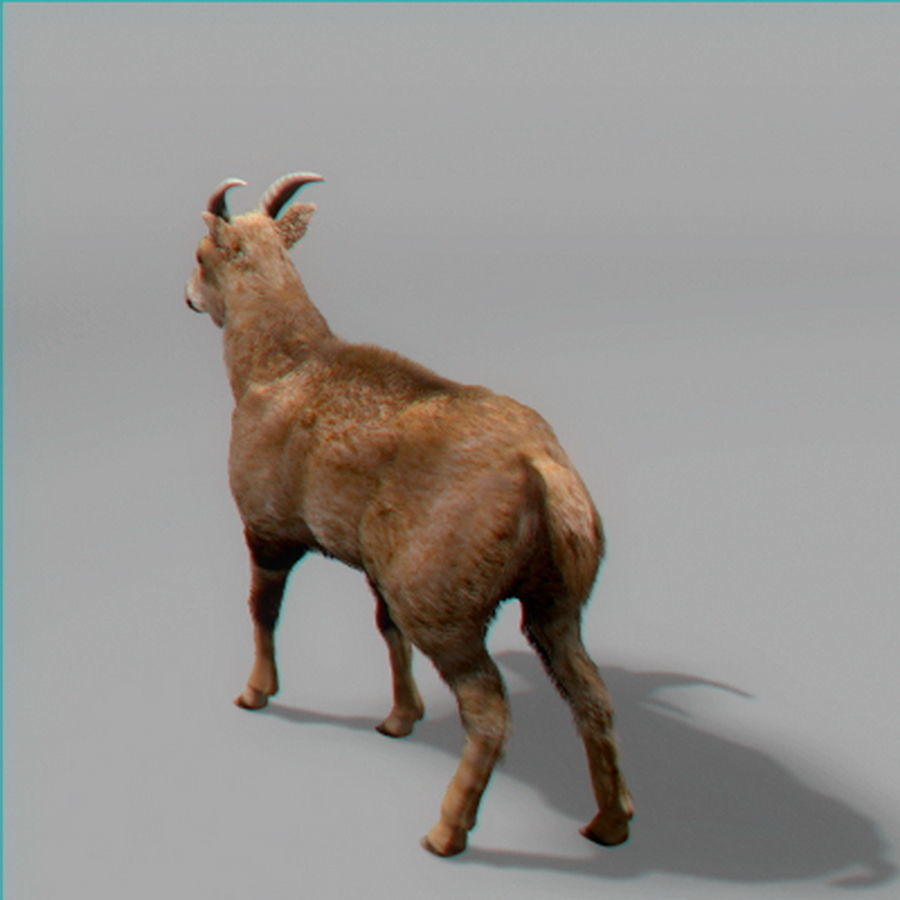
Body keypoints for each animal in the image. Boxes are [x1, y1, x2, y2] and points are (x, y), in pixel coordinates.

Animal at [184, 173, 633, 857]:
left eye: (202, 255)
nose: (187, 296)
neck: (279, 365)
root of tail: (542, 472)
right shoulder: (378, 565)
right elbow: (385, 627)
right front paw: (399, 718)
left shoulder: (267, 529)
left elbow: (264, 608)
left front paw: (255, 692)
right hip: (556, 601)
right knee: (593, 693)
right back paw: (609, 824)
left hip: (446, 604)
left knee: (490, 709)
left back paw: (446, 832)